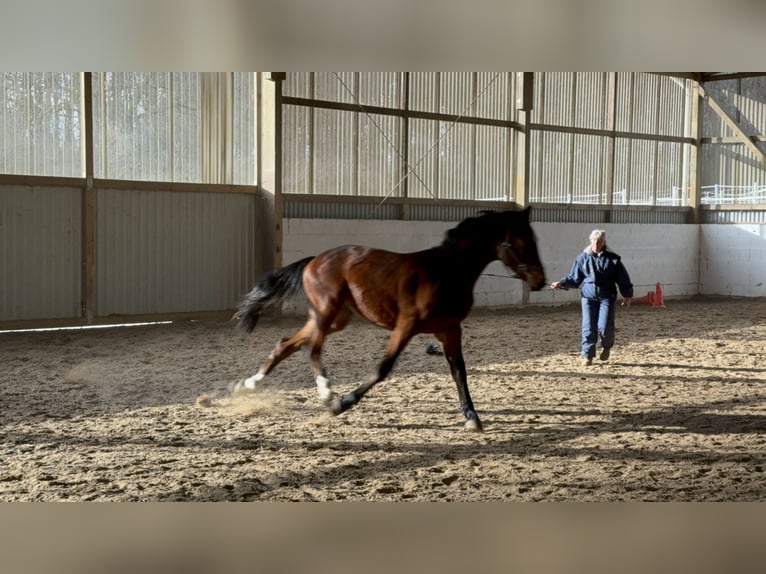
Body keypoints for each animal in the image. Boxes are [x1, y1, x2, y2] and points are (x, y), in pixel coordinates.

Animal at [232, 207, 544, 432]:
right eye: (521, 241)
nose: (540, 281)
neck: (447, 271)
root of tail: (314, 260)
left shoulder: (449, 330)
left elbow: (459, 371)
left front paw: (471, 416)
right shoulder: (406, 325)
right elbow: (383, 369)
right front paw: (343, 403)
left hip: (335, 318)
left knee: (286, 344)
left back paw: (249, 385)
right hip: (327, 310)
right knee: (312, 347)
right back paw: (325, 392)